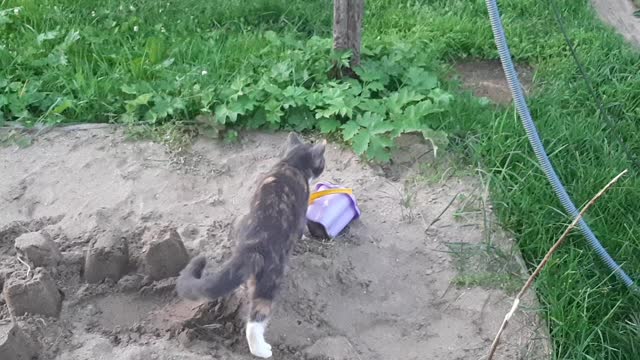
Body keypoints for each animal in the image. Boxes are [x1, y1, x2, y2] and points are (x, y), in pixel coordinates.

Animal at [175, 132, 324, 358]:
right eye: (322, 162)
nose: (323, 166)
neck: (289, 164)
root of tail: (252, 247)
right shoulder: (302, 210)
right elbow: (301, 228)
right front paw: (305, 238)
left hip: (241, 226)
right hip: (271, 279)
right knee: (255, 321)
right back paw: (261, 350)